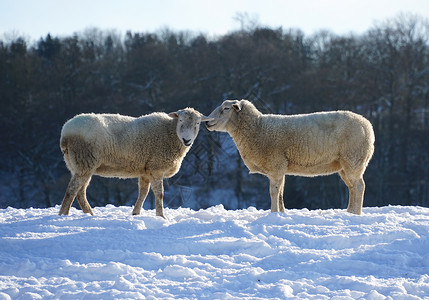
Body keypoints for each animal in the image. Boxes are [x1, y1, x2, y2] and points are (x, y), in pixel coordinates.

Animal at [57, 108, 210, 218]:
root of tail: (65, 133)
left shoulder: (146, 170)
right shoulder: (156, 168)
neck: (169, 132)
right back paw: (63, 215)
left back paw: (89, 214)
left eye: (197, 123)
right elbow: (159, 194)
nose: (187, 140)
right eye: (181, 120)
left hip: (79, 165)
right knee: (72, 190)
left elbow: (143, 192)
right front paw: (161, 217)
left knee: (80, 192)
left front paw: (136, 213)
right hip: (84, 161)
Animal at [206, 99, 372, 214]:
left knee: (359, 186)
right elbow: (280, 192)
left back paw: (356, 213)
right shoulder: (280, 168)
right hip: (345, 164)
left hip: (353, 159)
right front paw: (281, 212)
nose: (207, 122)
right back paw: (350, 212)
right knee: (352, 187)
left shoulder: (275, 165)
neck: (257, 129)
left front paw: (273, 213)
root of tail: (367, 125)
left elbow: (273, 192)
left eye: (226, 108)